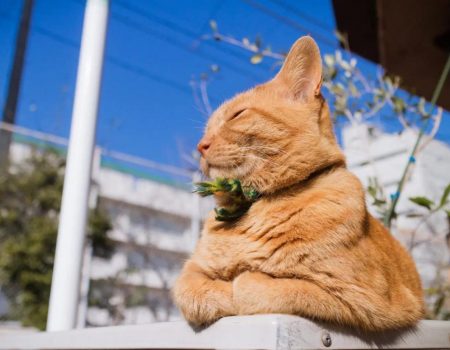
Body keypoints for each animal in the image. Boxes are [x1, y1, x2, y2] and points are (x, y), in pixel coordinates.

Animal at [173, 37, 426, 332]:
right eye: (206, 129)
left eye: (238, 114)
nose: (200, 146)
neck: (253, 206)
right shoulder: (192, 271)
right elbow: (190, 290)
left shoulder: (360, 299)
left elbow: (256, 284)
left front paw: (238, 283)